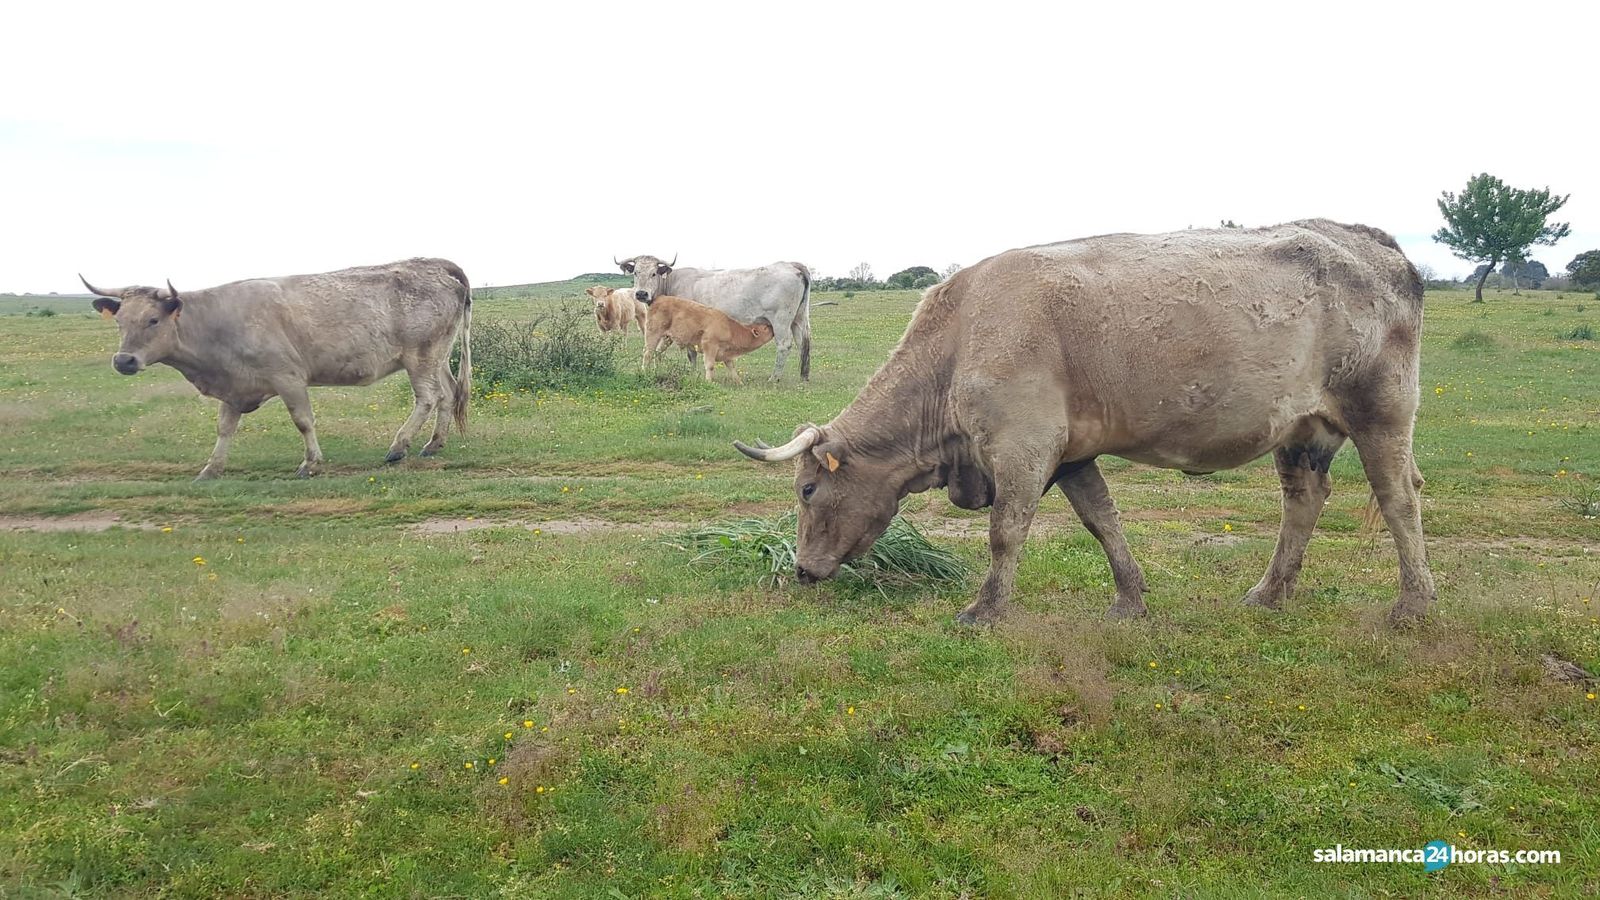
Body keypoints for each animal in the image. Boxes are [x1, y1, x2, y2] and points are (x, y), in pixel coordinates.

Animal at [82, 257, 472, 481]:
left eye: (153, 319)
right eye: (120, 321)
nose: (124, 360)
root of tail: (434, 264)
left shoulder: (288, 378)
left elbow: (303, 421)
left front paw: (310, 463)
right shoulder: (234, 387)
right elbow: (224, 428)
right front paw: (211, 468)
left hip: (419, 356)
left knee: (427, 398)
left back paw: (398, 446)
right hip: (438, 356)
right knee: (447, 394)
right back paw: (434, 443)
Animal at [640, 295, 775, 384]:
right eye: (765, 328)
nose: (773, 329)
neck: (730, 328)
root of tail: (658, 299)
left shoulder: (726, 353)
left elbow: (732, 368)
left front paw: (739, 382)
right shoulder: (709, 346)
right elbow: (710, 365)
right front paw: (709, 382)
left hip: (667, 338)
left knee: (658, 352)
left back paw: (657, 370)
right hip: (653, 333)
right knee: (648, 353)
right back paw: (645, 372)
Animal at [735, 220, 1436, 626]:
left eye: (807, 489)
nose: (802, 570)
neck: (961, 335)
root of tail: (1369, 242)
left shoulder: (1022, 444)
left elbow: (1005, 531)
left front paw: (985, 609)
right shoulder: (1071, 453)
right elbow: (1103, 522)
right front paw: (1130, 599)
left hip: (1381, 411)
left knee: (1398, 499)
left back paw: (1414, 604)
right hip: (1300, 432)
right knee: (1304, 501)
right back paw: (1270, 593)